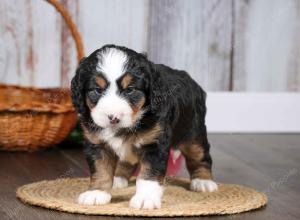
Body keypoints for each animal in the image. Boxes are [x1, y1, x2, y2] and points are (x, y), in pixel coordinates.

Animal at [72, 44, 218, 210]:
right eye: (97, 90)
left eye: (130, 89)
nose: (113, 117)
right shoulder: (97, 144)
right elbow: (100, 170)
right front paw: (97, 193)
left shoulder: (154, 144)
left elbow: (148, 175)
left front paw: (145, 198)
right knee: (127, 161)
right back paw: (119, 178)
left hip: (193, 135)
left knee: (201, 157)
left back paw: (203, 181)